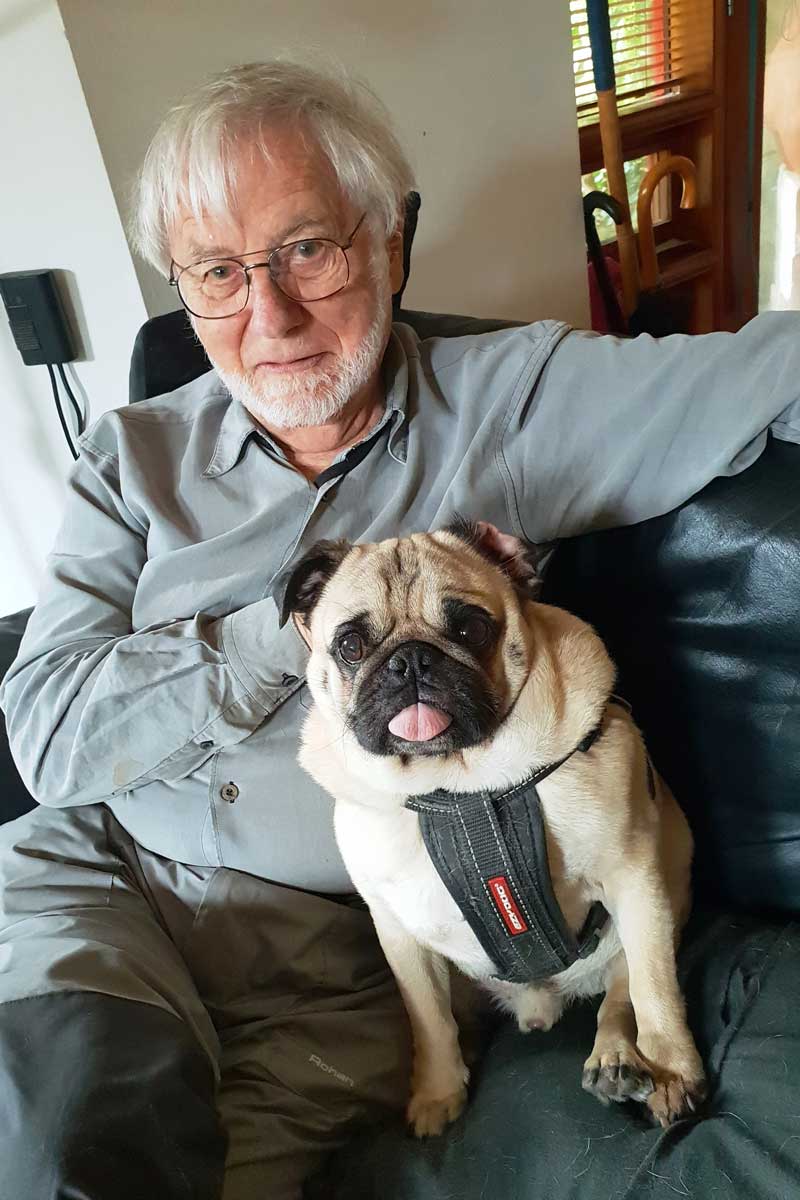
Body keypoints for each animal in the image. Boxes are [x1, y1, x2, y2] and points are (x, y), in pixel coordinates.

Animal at [280, 523, 705, 1132]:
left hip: (652, 914)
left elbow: (655, 990)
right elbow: (429, 1019)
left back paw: (618, 1058)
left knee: (622, 993)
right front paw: (436, 1092)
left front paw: (673, 1069)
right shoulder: (399, 935)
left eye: (470, 628)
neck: (462, 788)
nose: (410, 661)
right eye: (351, 647)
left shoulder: (633, 878)